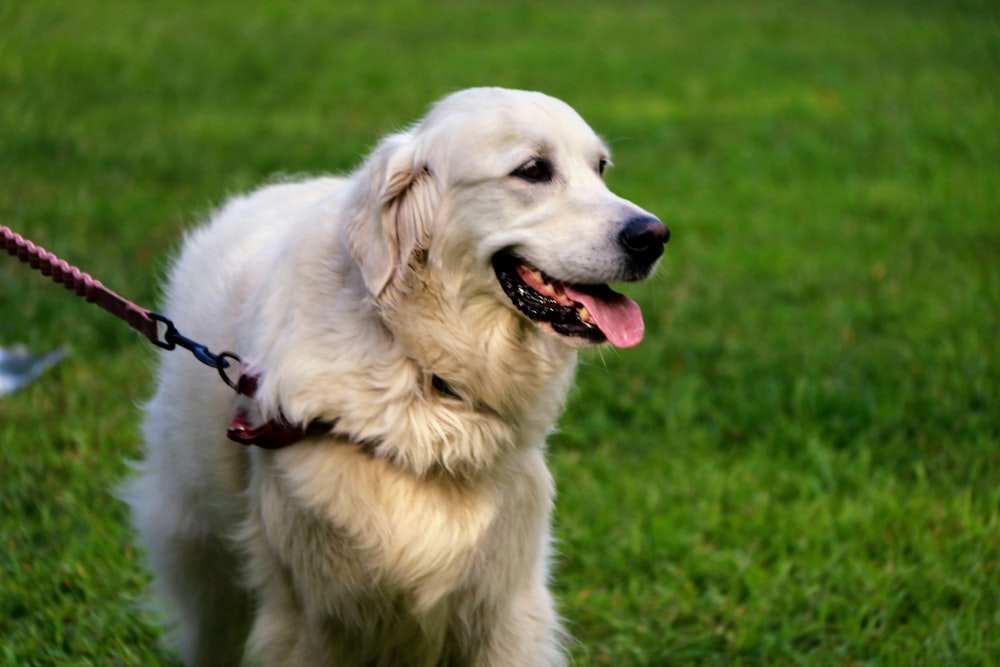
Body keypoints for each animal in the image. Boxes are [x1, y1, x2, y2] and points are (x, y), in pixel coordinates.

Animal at [129, 88, 668, 667]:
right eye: (532, 170)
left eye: (601, 168)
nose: (654, 236)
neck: (422, 373)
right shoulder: (308, 617)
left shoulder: (505, 605)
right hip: (206, 573)